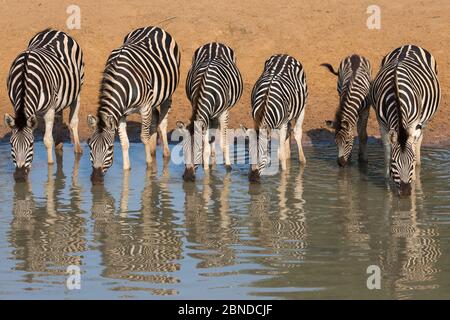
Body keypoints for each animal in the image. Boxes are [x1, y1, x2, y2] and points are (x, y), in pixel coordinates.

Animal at [3, 28, 84, 181]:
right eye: (11, 144)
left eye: (31, 144)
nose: (20, 176)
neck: (24, 77)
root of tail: (54, 30)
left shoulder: (49, 109)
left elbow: (47, 140)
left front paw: (51, 166)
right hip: (59, 96)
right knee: (59, 117)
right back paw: (59, 144)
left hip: (76, 91)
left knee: (74, 121)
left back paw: (77, 150)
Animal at [87, 26, 180, 184]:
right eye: (90, 147)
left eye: (110, 148)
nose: (96, 179)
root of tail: (152, 27)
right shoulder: (121, 113)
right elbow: (125, 142)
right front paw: (126, 170)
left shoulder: (145, 107)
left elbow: (143, 137)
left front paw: (149, 167)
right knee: (155, 119)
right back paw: (153, 150)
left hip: (168, 93)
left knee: (162, 122)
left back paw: (165, 154)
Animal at [178, 42, 244, 181]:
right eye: (183, 151)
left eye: (197, 151)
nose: (187, 178)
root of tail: (215, 43)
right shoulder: (198, 109)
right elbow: (207, 147)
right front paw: (207, 171)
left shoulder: (224, 113)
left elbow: (222, 143)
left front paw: (227, 168)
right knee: (211, 136)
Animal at [243, 53, 310, 181]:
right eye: (248, 153)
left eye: (264, 154)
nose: (253, 179)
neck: (265, 102)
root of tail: (284, 55)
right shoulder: (256, 120)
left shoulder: (282, 124)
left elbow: (281, 156)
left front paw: (284, 175)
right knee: (289, 131)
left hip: (302, 106)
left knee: (297, 132)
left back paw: (302, 160)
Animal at [370, 44, 442, 195]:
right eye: (394, 163)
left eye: (411, 160)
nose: (405, 192)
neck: (397, 93)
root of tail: (410, 45)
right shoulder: (382, 124)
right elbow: (387, 150)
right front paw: (387, 180)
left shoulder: (414, 124)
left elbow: (413, 147)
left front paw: (414, 180)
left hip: (424, 121)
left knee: (418, 141)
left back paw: (419, 165)